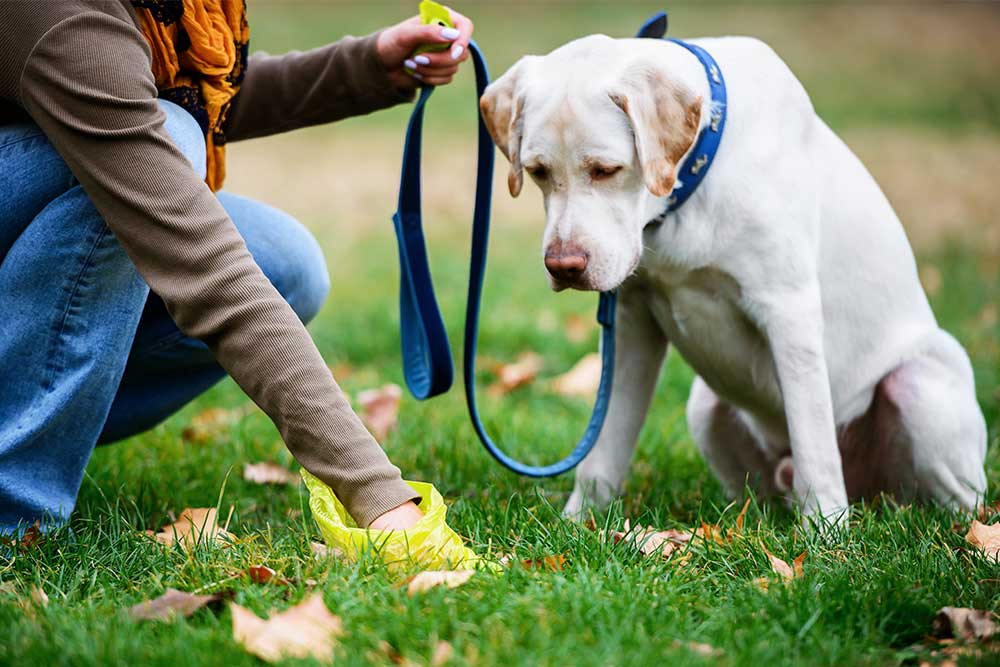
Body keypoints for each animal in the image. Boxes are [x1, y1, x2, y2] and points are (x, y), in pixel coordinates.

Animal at [480, 34, 988, 524]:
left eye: (606, 170)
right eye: (538, 172)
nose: (563, 266)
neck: (688, 191)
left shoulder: (789, 313)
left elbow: (815, 448)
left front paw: (827, 534)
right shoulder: (632, 321)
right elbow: (605, 444)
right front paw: (579, 522)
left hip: (919, 384)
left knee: (956, 500)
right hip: (704, 406)